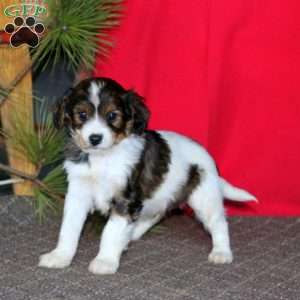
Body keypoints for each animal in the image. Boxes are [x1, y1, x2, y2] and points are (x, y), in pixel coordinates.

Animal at [38, 77, 256, 274]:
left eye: (112, 115)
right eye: (82, 114)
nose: (95, 138)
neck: (103, 158)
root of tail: (210, 161)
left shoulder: (125, 200)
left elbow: (110, 231)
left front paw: (105, 261)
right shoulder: (78, 194)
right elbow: (69, 228)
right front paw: (60, 256)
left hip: (204, 197)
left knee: (219, 223)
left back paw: (222, 252)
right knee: (157, 213)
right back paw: (130, 235)